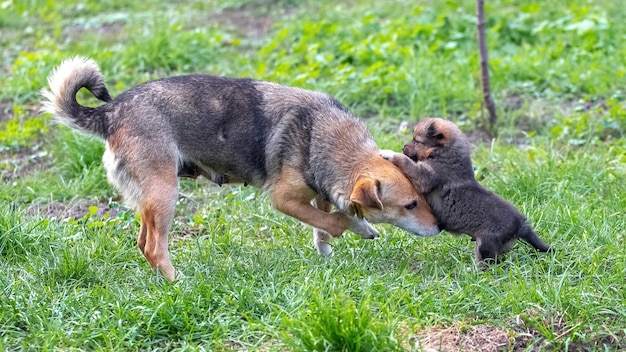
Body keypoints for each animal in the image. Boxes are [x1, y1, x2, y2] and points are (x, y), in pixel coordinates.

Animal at [380, 118, 552, 264]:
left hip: (486, 244)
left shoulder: (426, 176)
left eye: (417, 141)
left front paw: (389, 153)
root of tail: (521, 225)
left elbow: (407, 163)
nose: (402, 147)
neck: (444, 151)